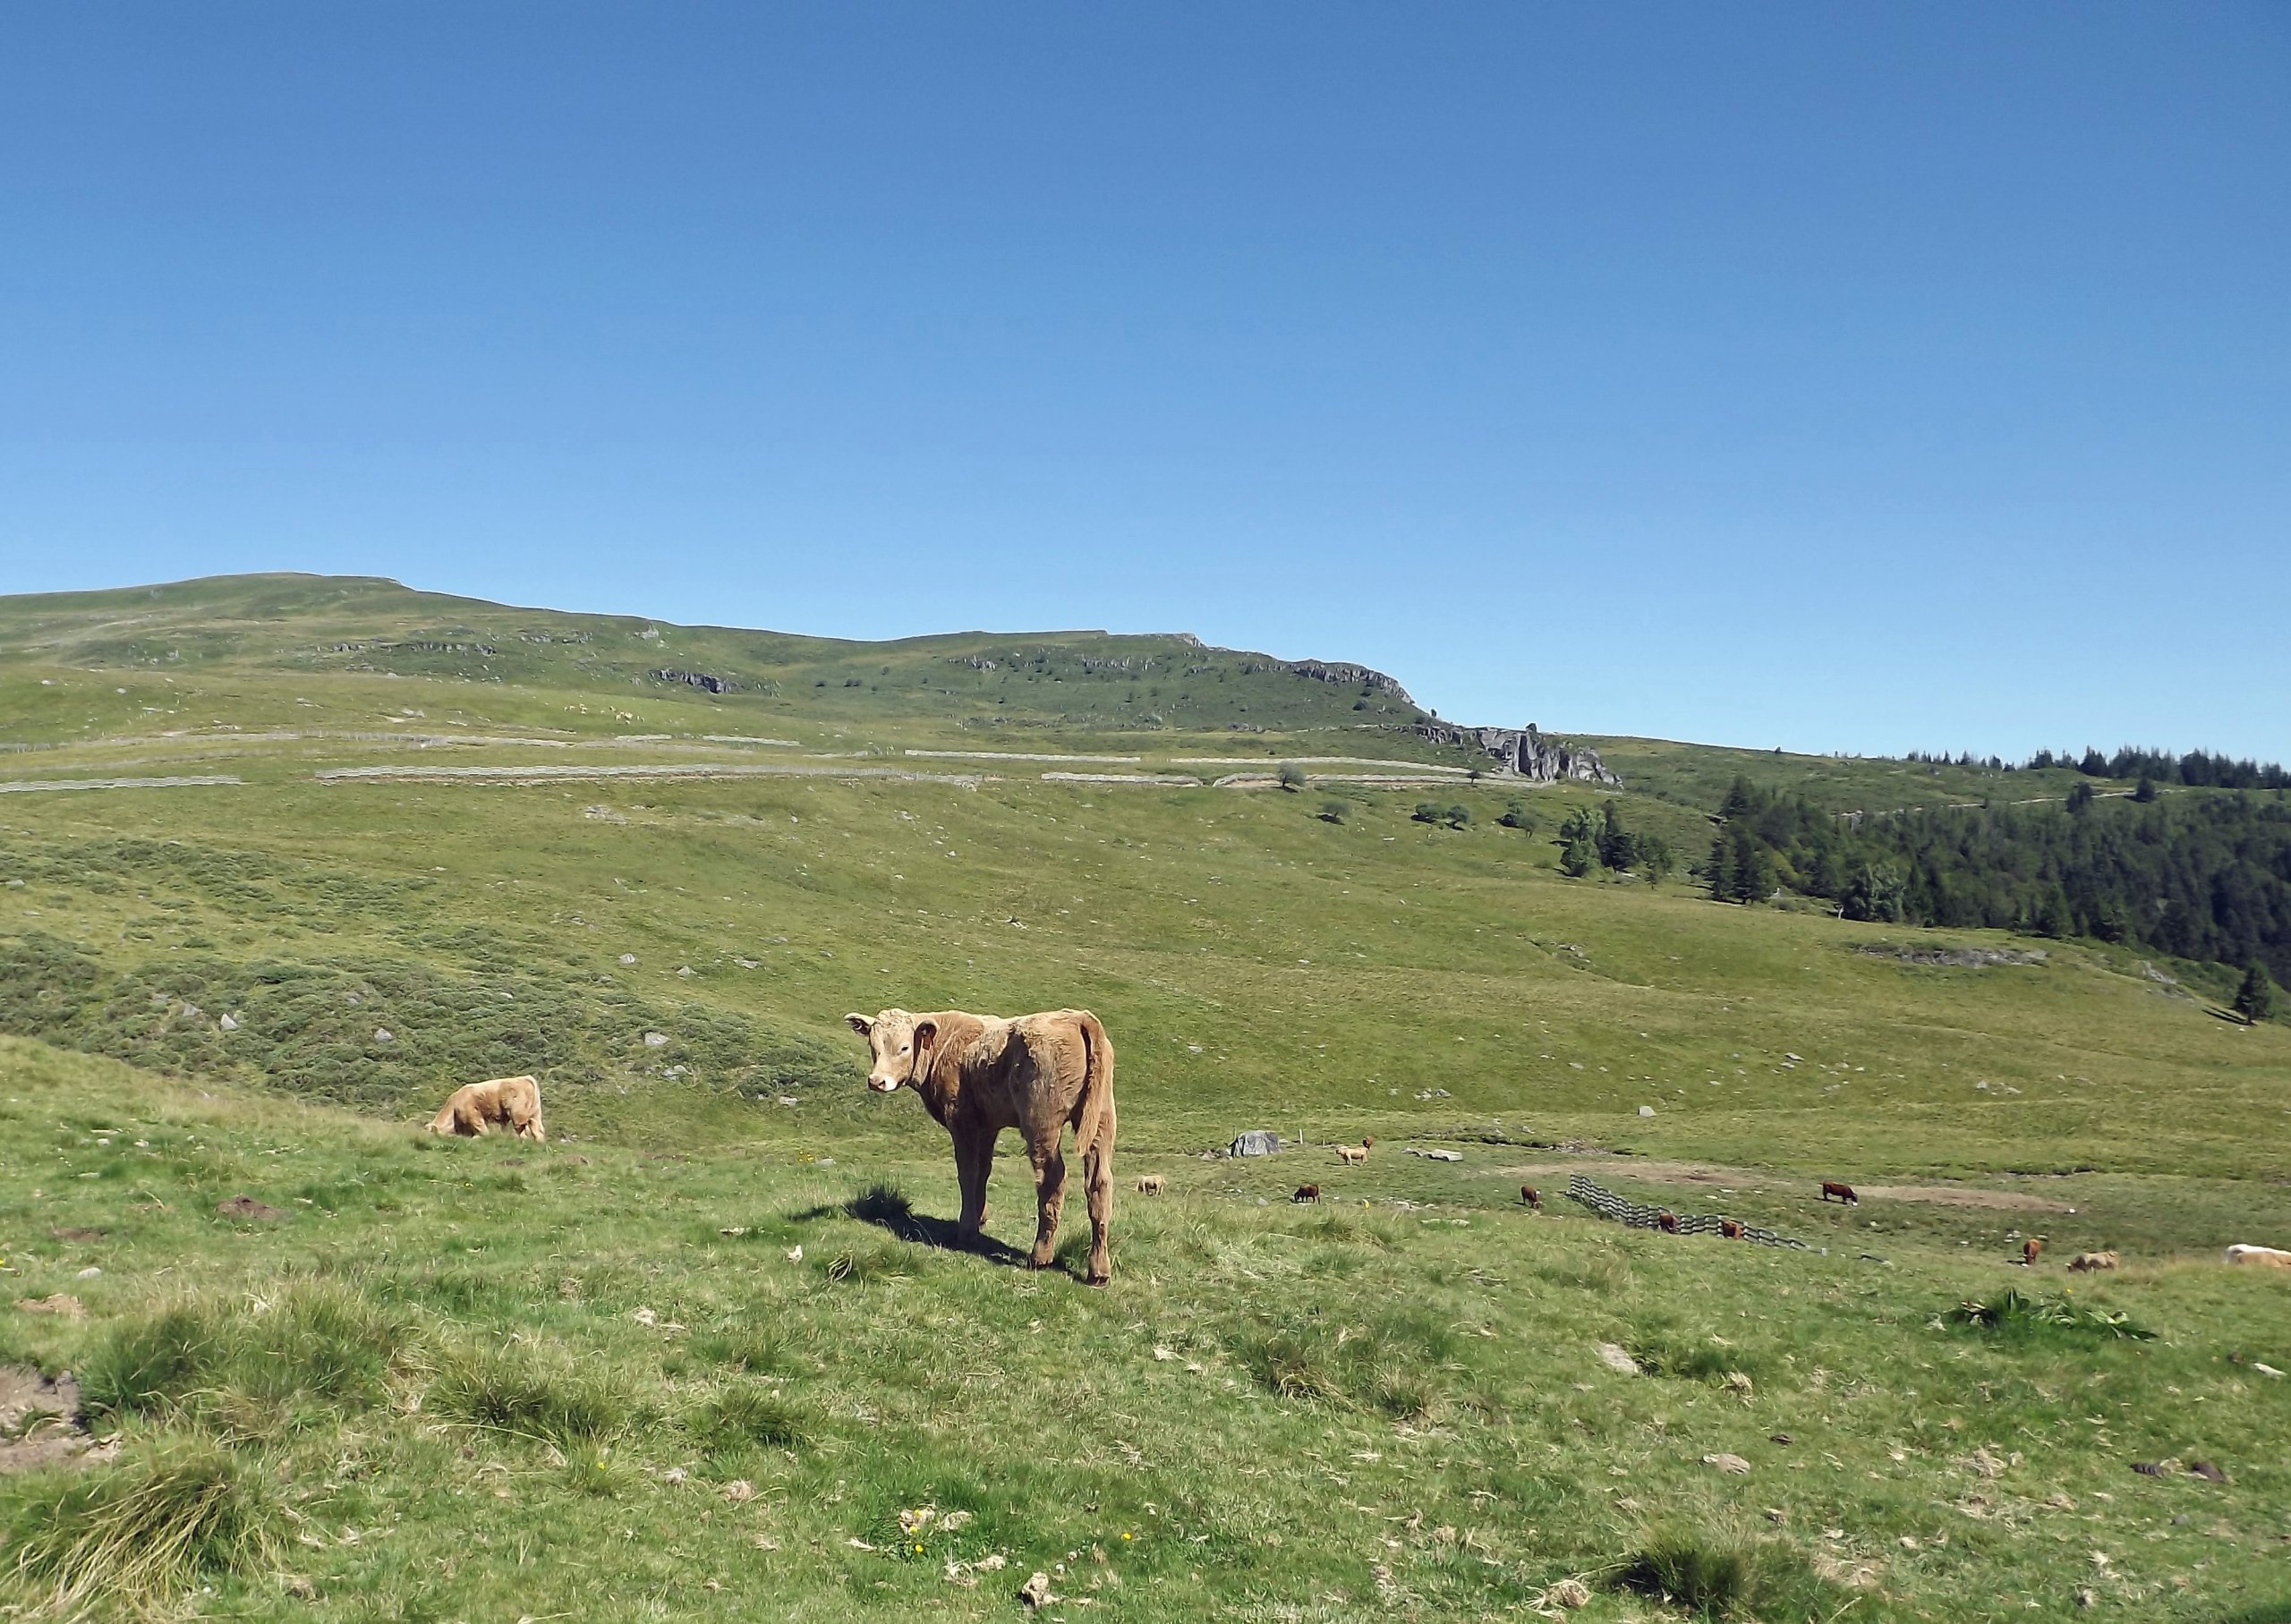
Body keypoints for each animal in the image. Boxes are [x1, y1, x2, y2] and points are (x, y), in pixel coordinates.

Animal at [426, 1076, 545, 1140]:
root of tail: (525, 1078)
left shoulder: (472, 1114)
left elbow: (481, 1128)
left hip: (517, 1112)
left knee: (522, 1129)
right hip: (535, 1113)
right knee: (537, 1129)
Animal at [852, 999, 1118, 1282]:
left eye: (904, 1047)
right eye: (873, 1046)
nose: (877, 1081)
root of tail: (1078, 1017)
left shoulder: (961, 1119)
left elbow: (968, 1173)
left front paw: (967, 1229)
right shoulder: (988, 1126)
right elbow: (983, 1171)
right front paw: (980, 1219)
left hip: (1042, 1122)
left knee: (1052, 1178)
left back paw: (1040, 1256)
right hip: (1102, 1119)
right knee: (1099, 1183)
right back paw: (1099, 1271)